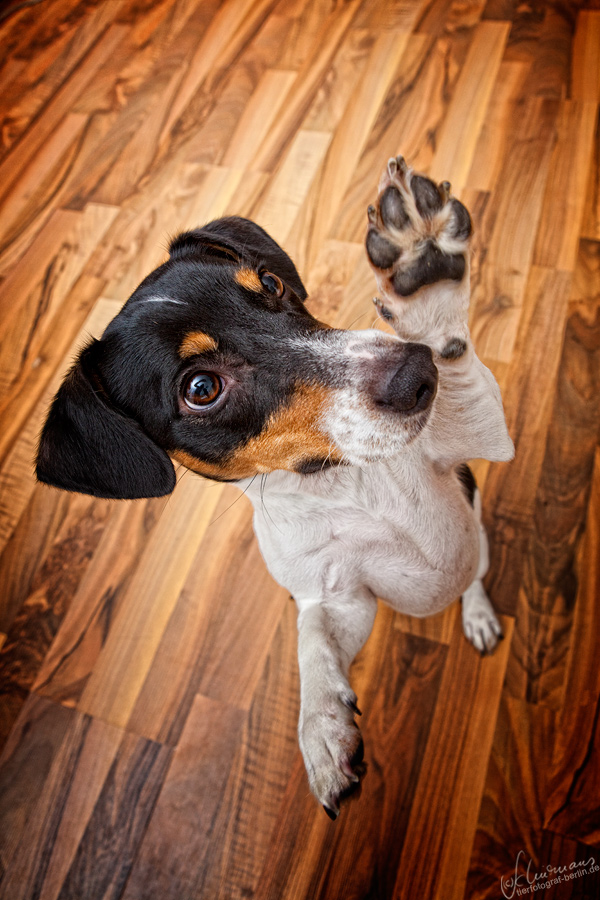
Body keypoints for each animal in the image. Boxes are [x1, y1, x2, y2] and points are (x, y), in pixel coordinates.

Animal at [35, 158, 510, 820]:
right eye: (201, 388)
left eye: (271, 284)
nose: (415, 373)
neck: (343, 482)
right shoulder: (336, 597)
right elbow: (311, 642)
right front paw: (321, 733)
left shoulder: (480, 433)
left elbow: (454, 351)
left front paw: (423, 263)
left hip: (478, 524)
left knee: (476, 576)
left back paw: (478, 613)